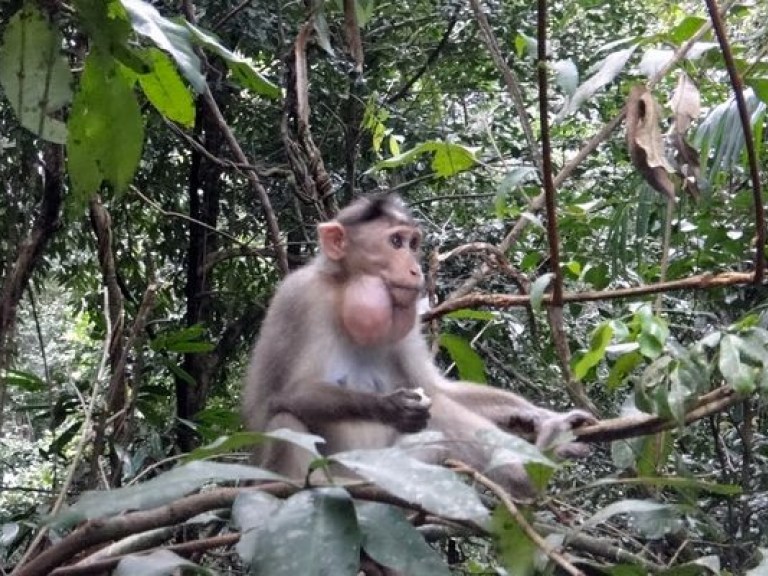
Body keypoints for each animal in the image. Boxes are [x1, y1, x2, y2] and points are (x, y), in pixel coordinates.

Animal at [243, 194, 596, 496]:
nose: (416, 269)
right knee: (284, 420)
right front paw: (391, 406)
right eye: (395, 242)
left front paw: (537, 415)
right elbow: (285, 394)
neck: (343, 292)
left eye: (412, 244)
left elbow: (436, 389)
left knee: (439, 416)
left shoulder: (406, 321)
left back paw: (538, 461)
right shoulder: (299, 299)